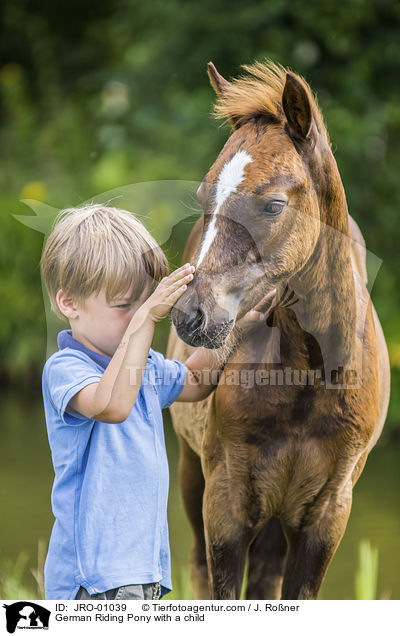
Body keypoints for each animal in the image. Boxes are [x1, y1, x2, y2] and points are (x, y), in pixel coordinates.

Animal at [166, 60, 390, 600]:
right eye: (204, 196)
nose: (190, 316)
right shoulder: (224, 505)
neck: (309, 374)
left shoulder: (326, 517)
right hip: (191, 473)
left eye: (272, 205)